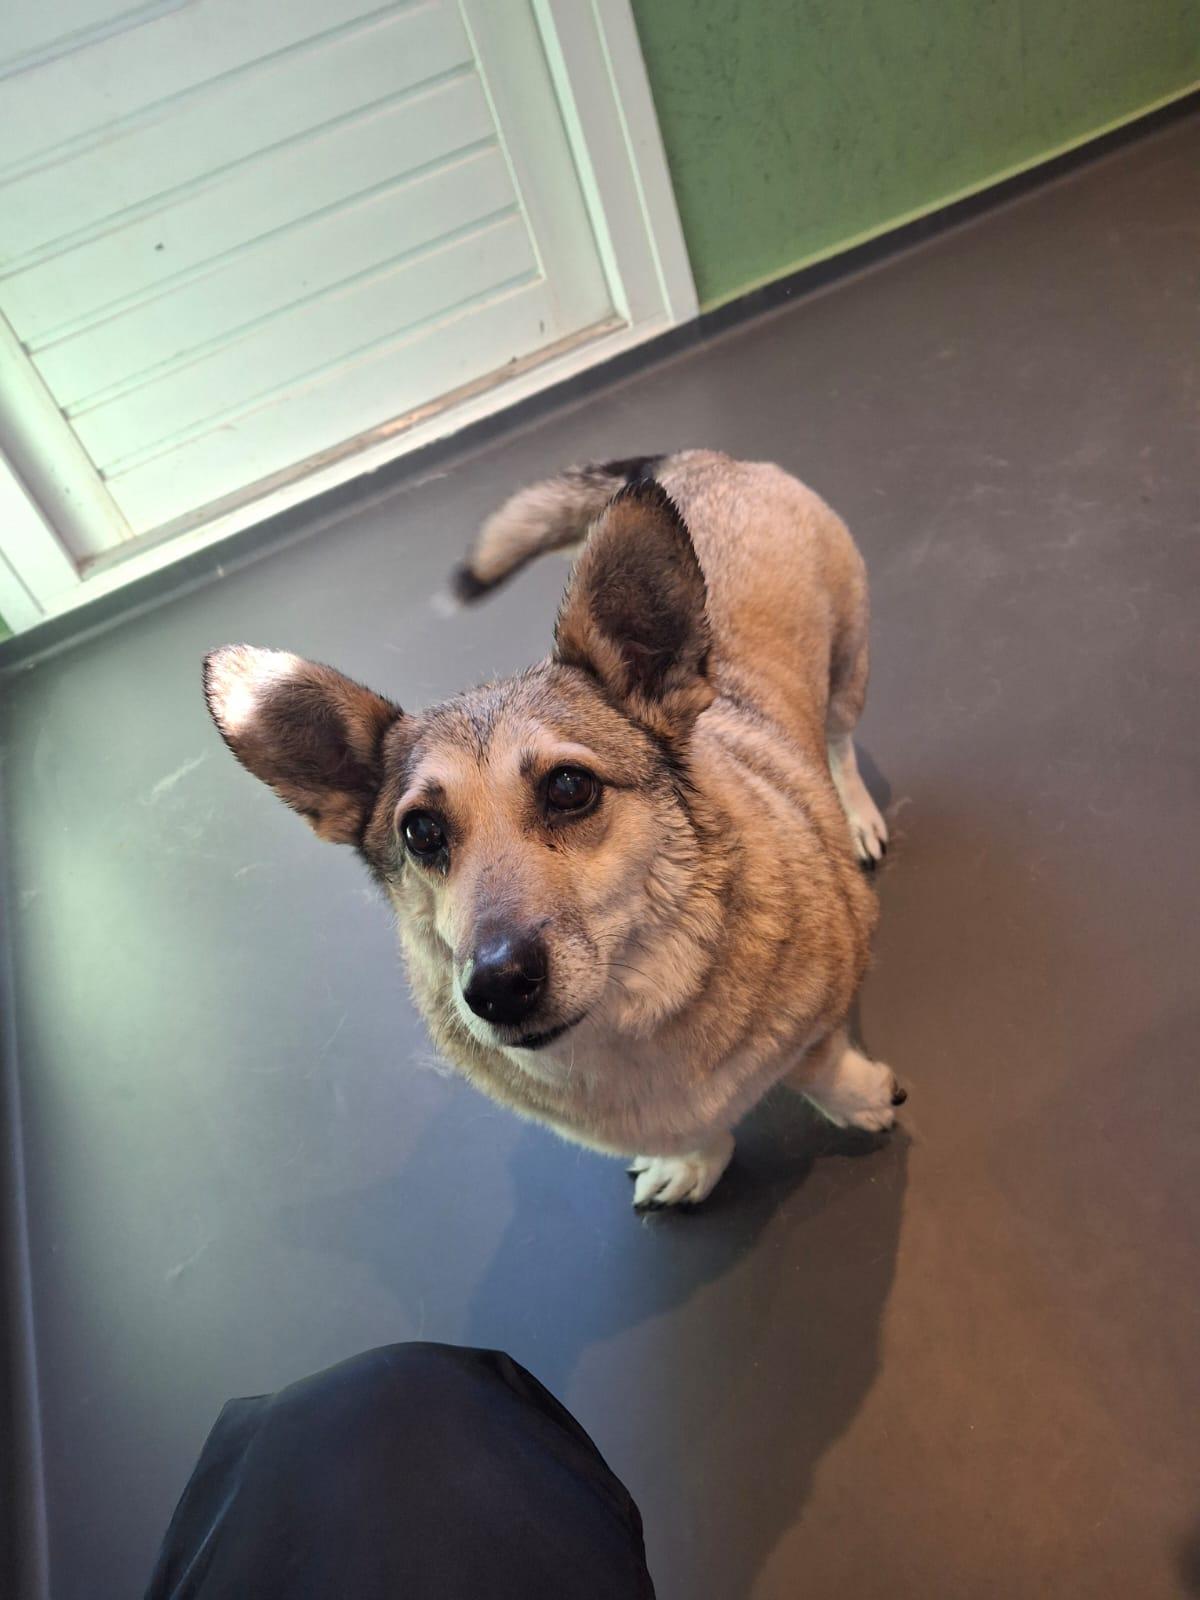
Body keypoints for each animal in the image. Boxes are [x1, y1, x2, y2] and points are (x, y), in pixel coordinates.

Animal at [203, 450, 904, 1207]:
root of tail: (696, 459)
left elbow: (818, 1066)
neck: (631, 1016)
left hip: (849, 668)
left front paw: (863, 1099)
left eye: (570, 787)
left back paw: (856, 813)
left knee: (839, 740)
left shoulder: (825, 1011)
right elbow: (694, 1134)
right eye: (421, 832)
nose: (498, 985)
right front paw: (694, 1163)